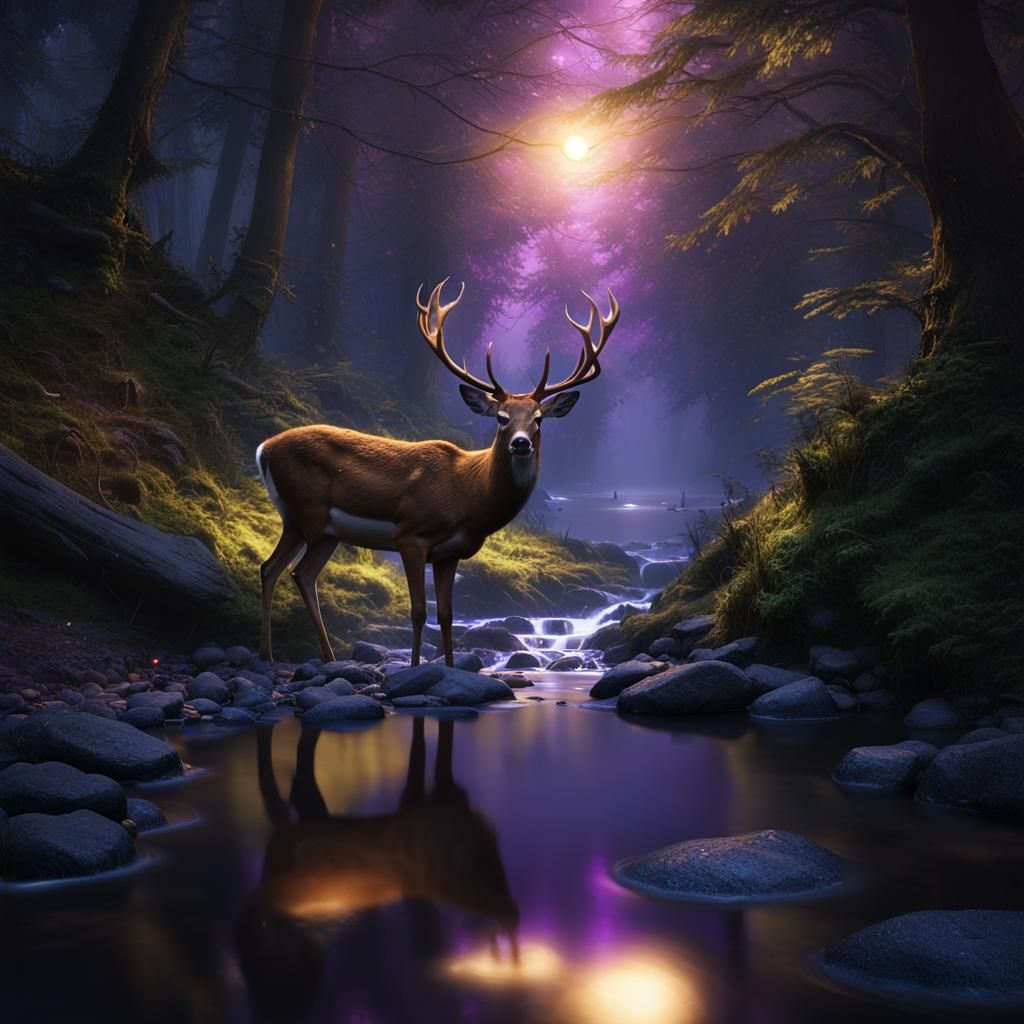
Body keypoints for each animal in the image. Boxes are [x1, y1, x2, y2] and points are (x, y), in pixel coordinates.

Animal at [255, 279, 620, 666]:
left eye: (538, 419)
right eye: (501, 418)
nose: (521, 444)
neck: (468, 494)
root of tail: (264, 448)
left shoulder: (449, 553)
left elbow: (446, 614)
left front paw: (448, 666)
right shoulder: (411, 534)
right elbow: (419, 612)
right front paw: (415, 666)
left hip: (317, 528)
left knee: (288, 571)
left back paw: (308, 656)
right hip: (306, 512)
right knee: (283, 569)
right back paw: (279, 654)